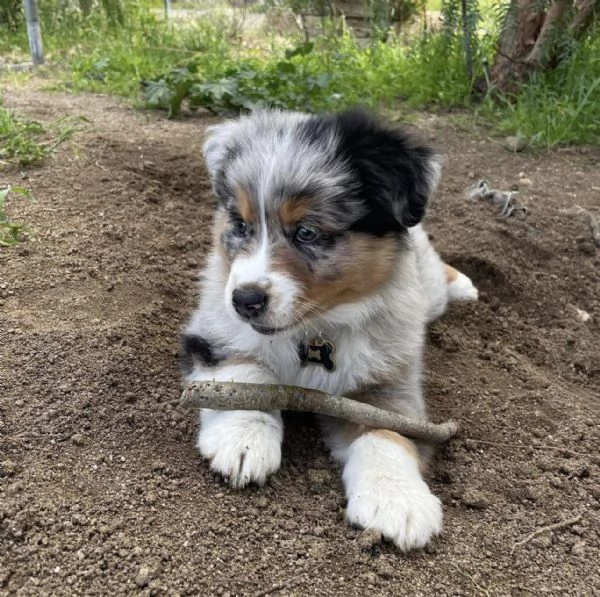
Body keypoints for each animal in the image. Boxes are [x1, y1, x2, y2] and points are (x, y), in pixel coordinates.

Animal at [179, 108, 478, 548]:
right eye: (240, 224)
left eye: (307, 231)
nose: (245, 301)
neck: (314, 330)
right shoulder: (214, 325)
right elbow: (246, 372)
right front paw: (244, 439)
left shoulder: (390, 374)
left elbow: (387, 428)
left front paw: (396, 501)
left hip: (427, 292)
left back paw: (465, 285)